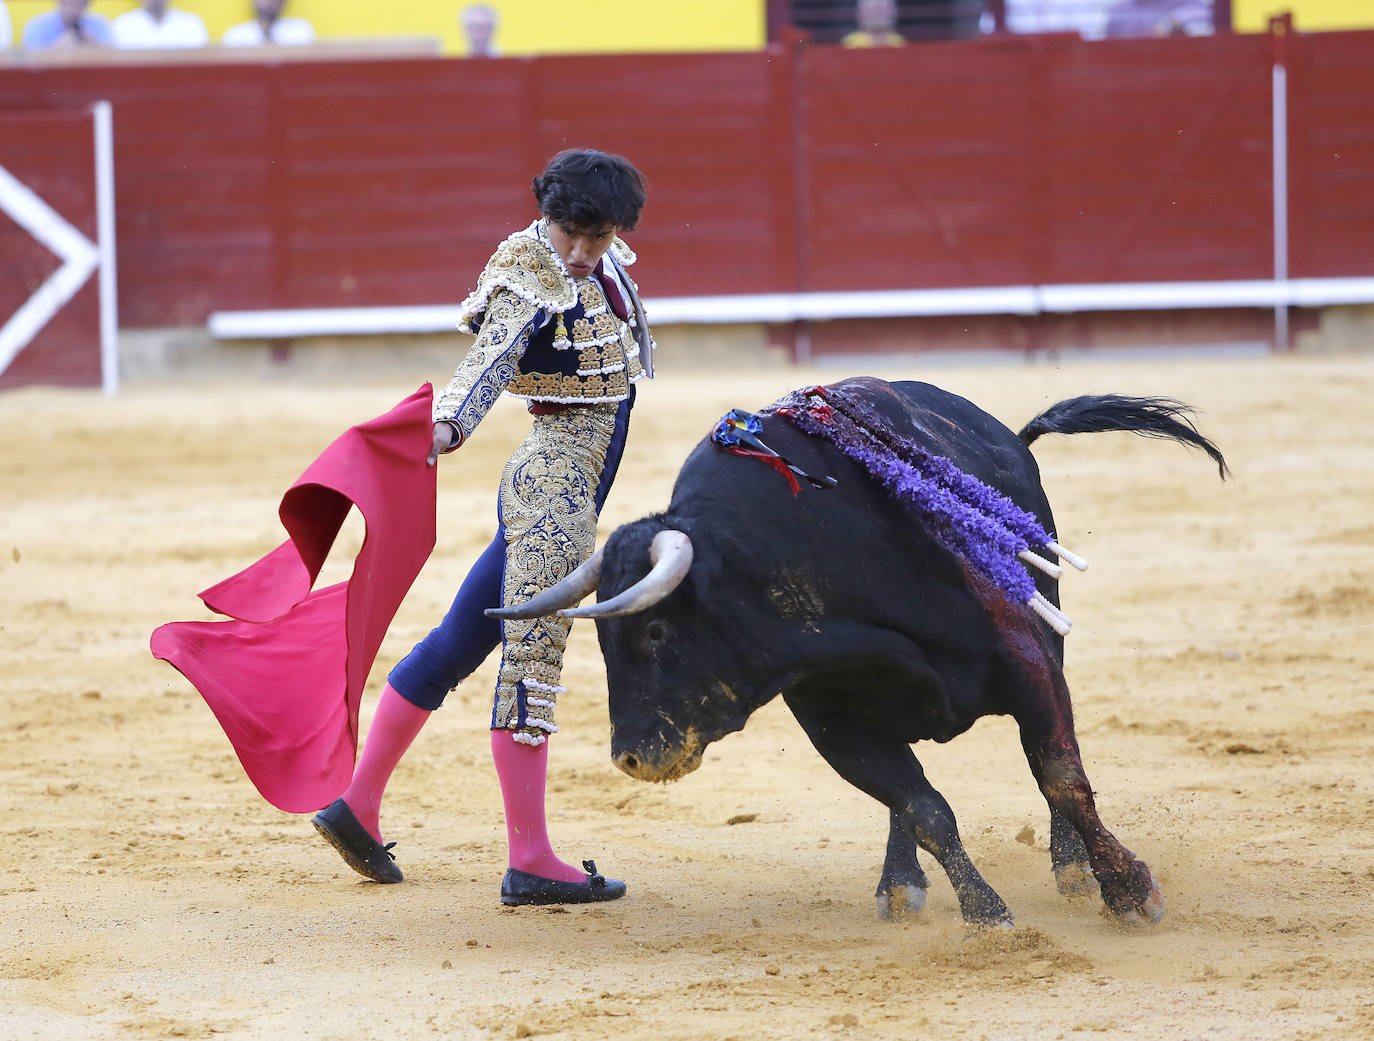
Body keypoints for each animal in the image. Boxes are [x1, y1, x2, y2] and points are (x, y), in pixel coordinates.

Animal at [491, 379, 1225, 933]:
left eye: (656, 634)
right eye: (604, 641)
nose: (632, 757)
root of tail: (1008, 436)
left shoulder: (1026, 657)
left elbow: (1061, 775)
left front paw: (1129, 891)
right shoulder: (829, 716)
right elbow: (924, 807)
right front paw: (987, 917)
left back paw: (1071, 869)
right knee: (911, 791)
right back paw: (900, 886)